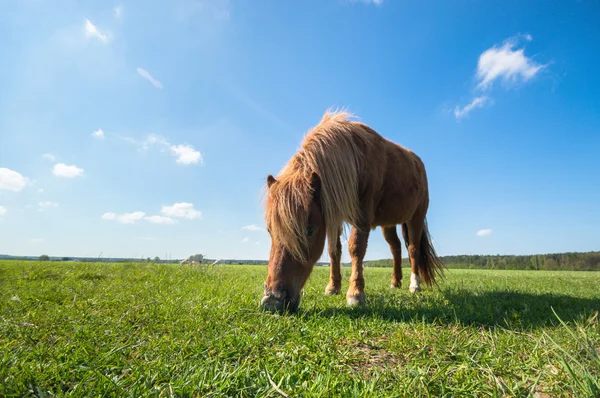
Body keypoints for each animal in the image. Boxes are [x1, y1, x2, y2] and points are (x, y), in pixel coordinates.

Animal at [260, 110, 442, 312]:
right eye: (269, 230)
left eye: (309, 230)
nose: (272, 300)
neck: (354, 160)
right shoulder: (333, 214)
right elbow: (334, 249)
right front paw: (333, 287)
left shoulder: (361, 215)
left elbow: (356, 248)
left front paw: (356, 293)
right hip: (388, 223)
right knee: (395, 247)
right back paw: (395, 282)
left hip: (416, 217)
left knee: (413, 249)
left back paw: (414, 285)